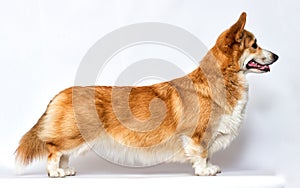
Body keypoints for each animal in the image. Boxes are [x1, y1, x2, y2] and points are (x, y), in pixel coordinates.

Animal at [15, 12, 278, 177]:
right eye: (255, 45)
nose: (276, 56)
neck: (223, 79)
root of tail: (60, 94)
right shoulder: (198, 135)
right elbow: (201, 153)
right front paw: (205, 171)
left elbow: (207, 154)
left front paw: (211, 167)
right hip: (76, 136)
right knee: (53, 150)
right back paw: (55, 173)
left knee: (64, 155)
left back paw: (66, 170)